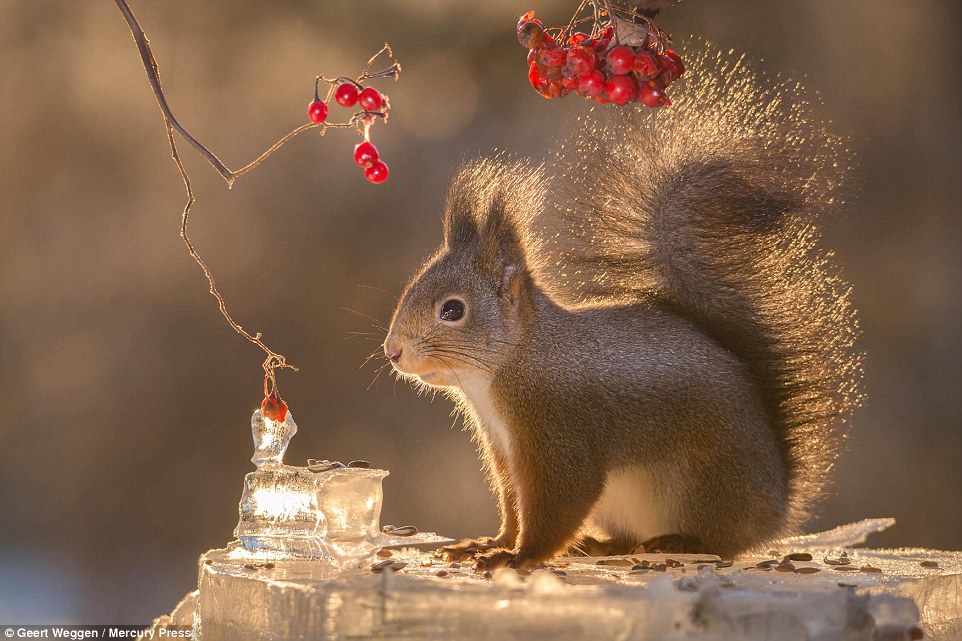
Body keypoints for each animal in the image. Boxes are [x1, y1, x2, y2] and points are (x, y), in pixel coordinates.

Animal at [378, 51, 860, 568]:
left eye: (452, 310)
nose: (393, 351)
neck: (513, 363)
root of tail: (777, 504)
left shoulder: (560, 431)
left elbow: (558, 502)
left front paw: (520, 557)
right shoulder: (504, 450)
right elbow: (512, 503)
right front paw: (492, 543)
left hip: (704, 484)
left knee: (724, 541)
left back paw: (682, 540)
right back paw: (603, 544)